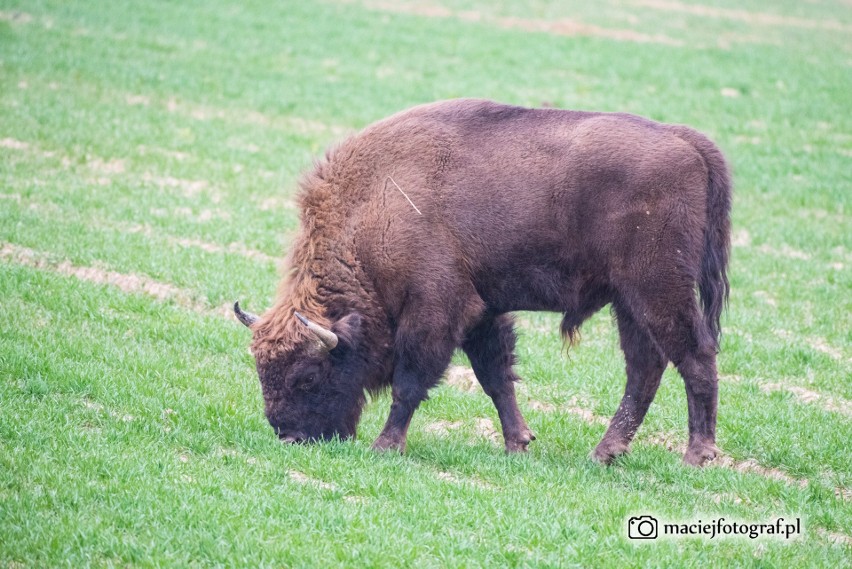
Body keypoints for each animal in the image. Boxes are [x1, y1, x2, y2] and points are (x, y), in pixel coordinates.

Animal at [235, 98, 732, 466]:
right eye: (262, 372)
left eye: (307, 376)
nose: (290, 436)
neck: (373, 207)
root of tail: (686, 140)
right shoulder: (482, 312)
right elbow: (495, 377)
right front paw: (518, 443)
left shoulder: (436, 309)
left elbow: (410, 382)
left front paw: (386, 445)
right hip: (628, 301)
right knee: (645, 367)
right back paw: (604, 453)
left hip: (657, 290)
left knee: (694, 355)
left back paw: (696, 455)